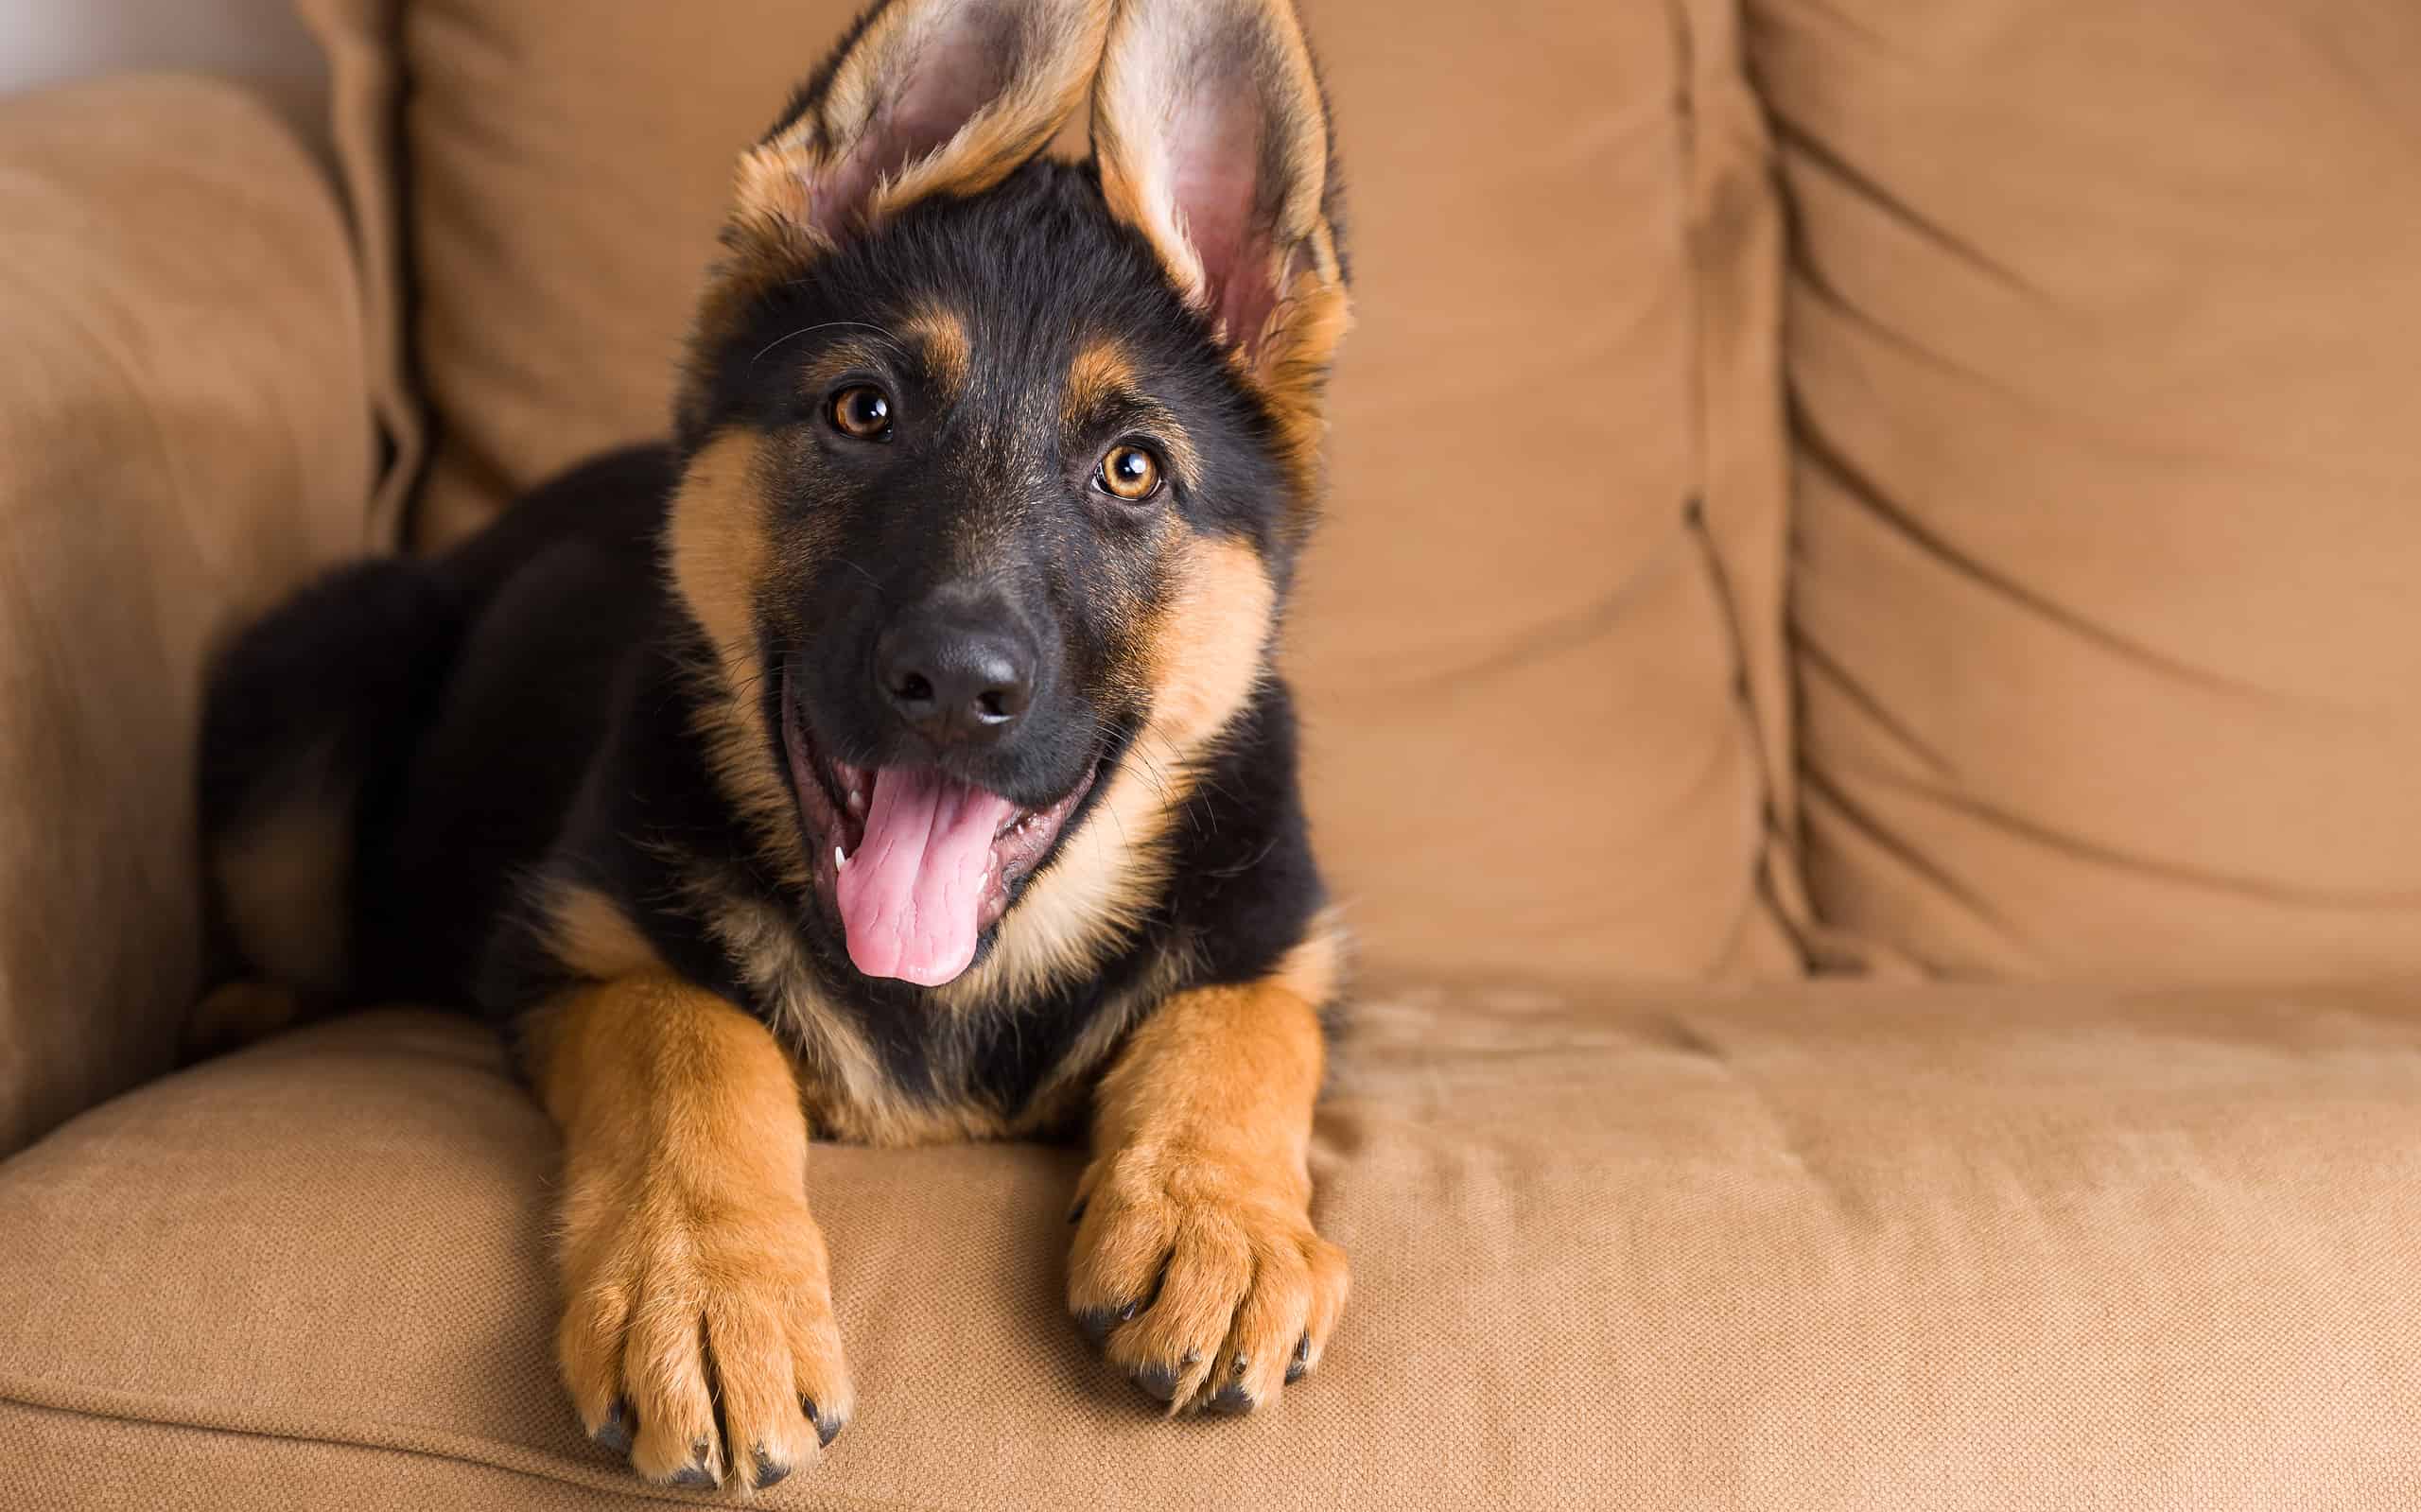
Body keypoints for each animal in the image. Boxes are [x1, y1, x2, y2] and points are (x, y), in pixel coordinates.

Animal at [191, 0, 1365, 1489]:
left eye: (1134, 470)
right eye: (863, 410)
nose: (954, 685)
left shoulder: (1283, 935)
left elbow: (1240, 1022)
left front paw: (1219, 1227)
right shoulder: (578, 945)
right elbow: (695, 1039)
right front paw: (705, 1296)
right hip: (336, 649)